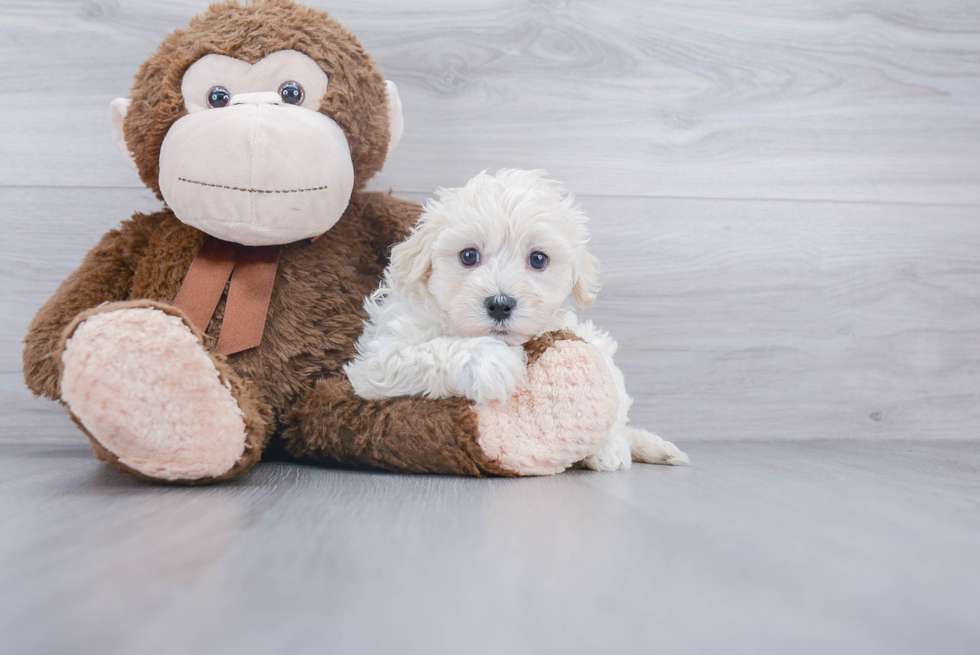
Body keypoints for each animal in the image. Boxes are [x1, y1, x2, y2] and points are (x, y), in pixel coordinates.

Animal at [344, 167, 688, 468]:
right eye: (469, 255)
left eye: (538, 259)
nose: (500, 304)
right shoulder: (376, 362)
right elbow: (426, 351)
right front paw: (491, 361)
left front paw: (608, 444)